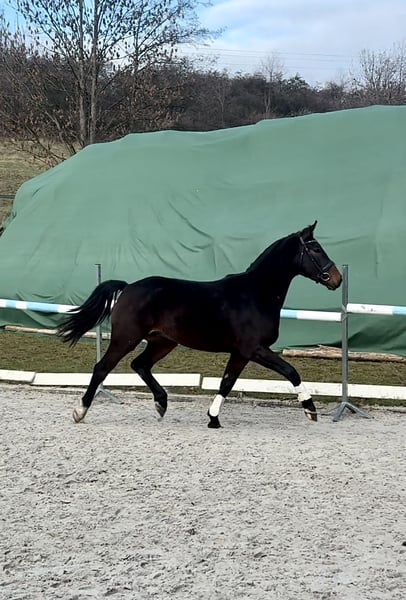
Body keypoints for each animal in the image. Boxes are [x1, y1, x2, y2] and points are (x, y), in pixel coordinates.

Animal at [57, 221, 342, 427]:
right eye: (316, 249)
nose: (336, 278)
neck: (256, 294)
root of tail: (128, 287)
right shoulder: (254, 349)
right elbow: (291, 371)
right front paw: (310, 409)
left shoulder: (241, 353)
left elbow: (227, 383)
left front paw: (213, 418)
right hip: (126, 338)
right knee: (102, 368)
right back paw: (80, 411)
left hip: (162, 342)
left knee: (140, 365)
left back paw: (161, 404)